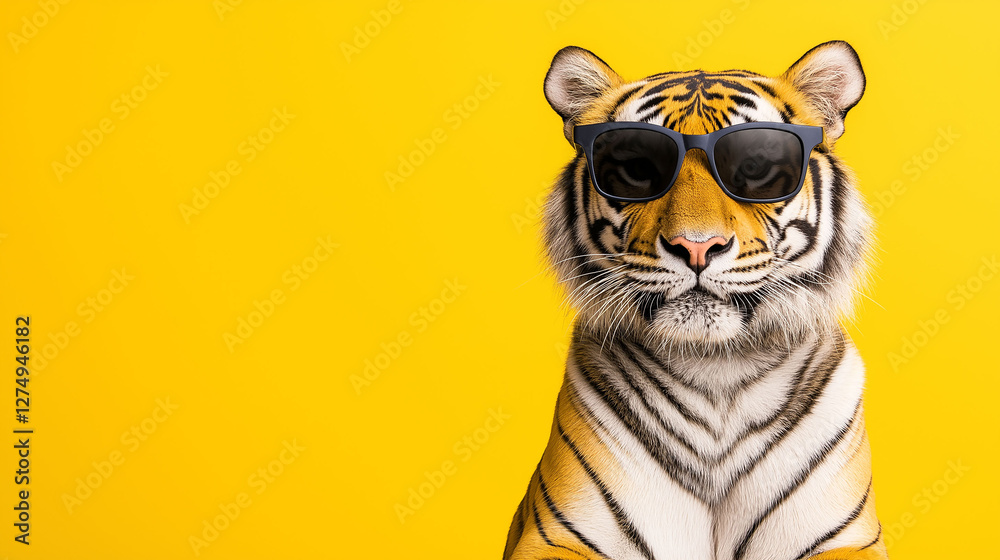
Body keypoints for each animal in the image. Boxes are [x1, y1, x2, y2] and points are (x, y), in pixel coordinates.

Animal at [502, 41, 887, 560]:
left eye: (756, 167)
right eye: (638, 169)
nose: (697, 246)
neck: (716, 370)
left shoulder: (847, 537)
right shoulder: (556, 535)